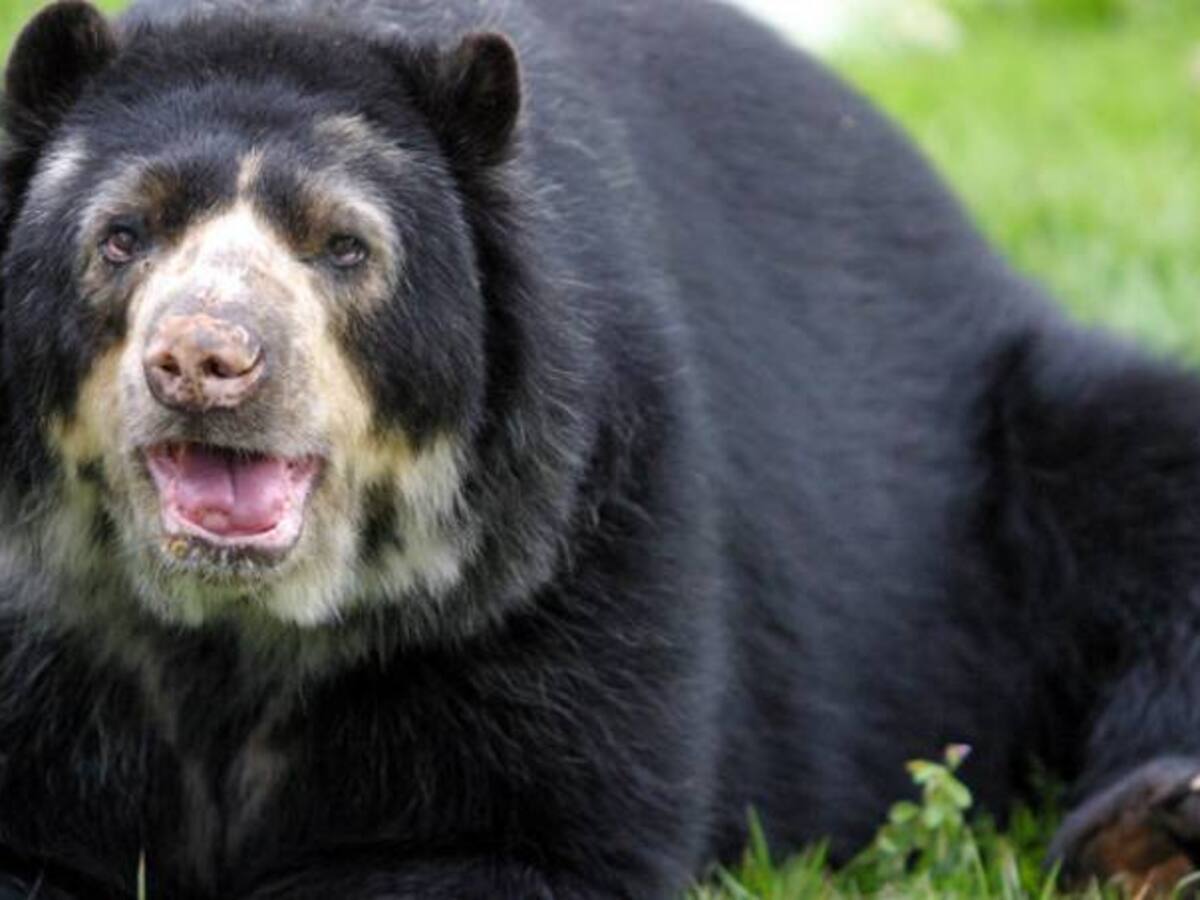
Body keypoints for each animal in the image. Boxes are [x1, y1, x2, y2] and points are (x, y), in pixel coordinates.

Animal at [2, 0, 1200, 897]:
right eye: (122, 236)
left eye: (344, 247)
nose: (204, 360)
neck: (233, 632)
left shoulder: (575, 542)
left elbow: (534, 826)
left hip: (1020, 440)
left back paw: (1151, 833)